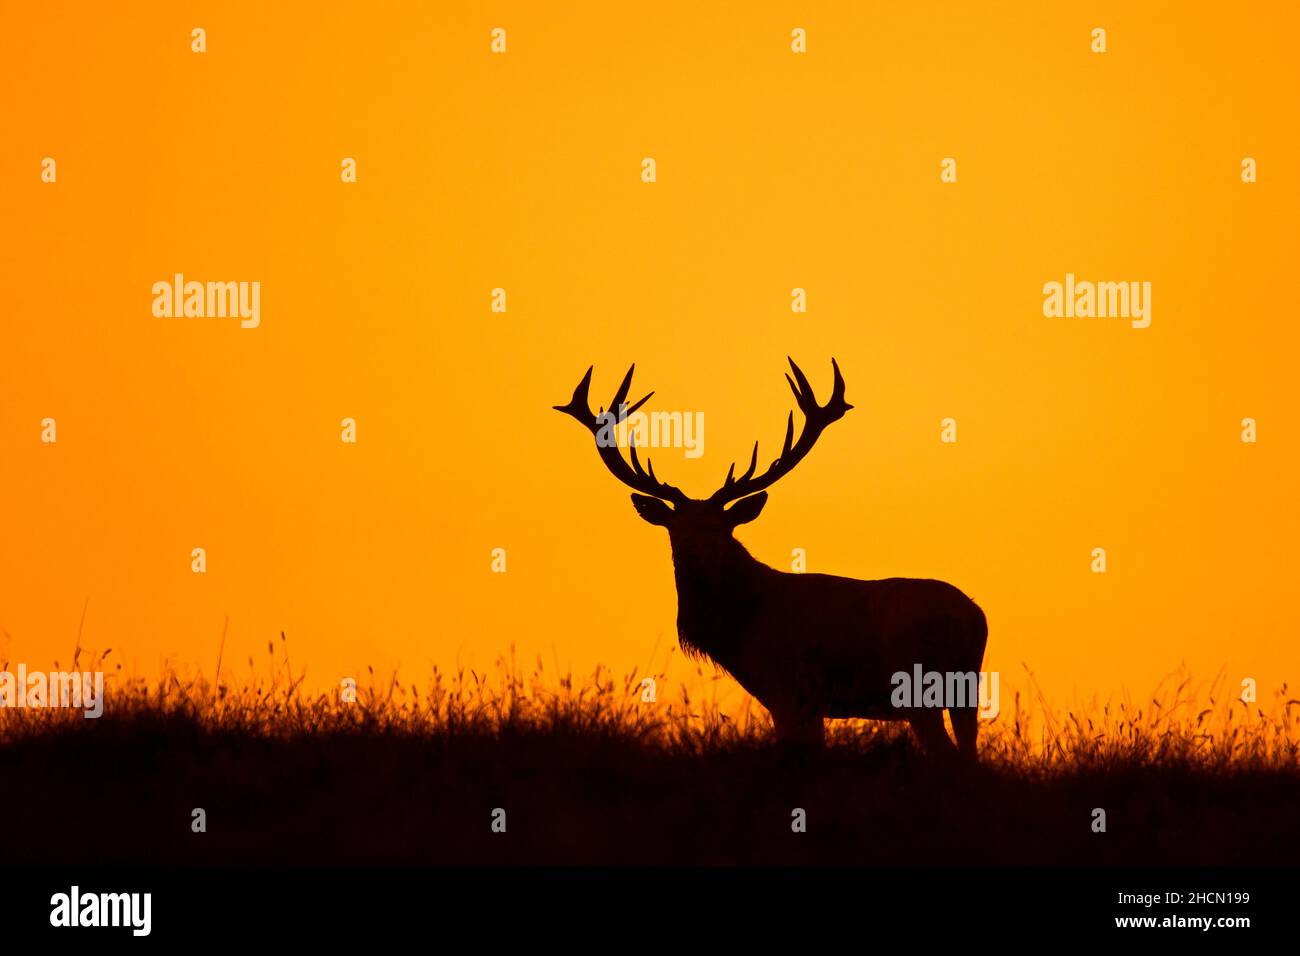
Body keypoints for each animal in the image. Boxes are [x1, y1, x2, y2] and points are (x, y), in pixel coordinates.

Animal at [553, 356, 987, 759]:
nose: (694, 556)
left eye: (721, 528)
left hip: (917, 687)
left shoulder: (792, 691)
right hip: (966, 689)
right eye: (674, 529)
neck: (743, 626)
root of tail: (974, 619)